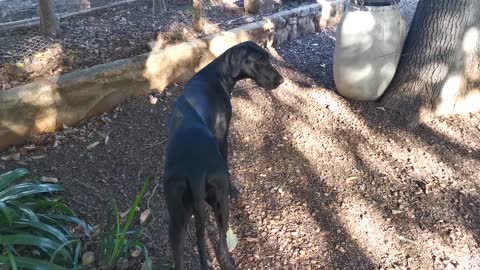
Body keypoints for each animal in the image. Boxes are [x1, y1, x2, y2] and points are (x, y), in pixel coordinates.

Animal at [165, 41, 284, 268]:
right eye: (261, 60)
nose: (280, 80)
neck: (216, 74)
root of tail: (194, 173)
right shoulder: (223, 136)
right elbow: (227, 161)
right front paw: (234, 188)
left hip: (176, 217)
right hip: (220, 203)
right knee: (221, 244)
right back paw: (229, 261)